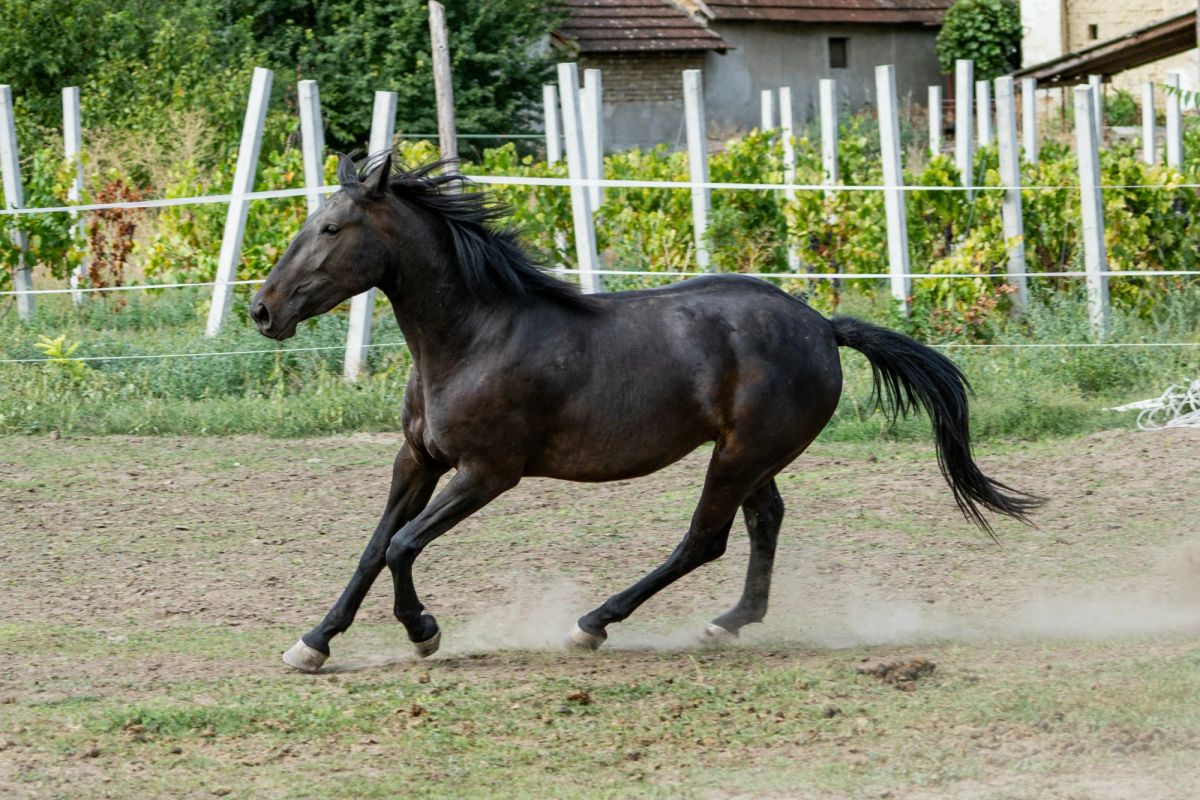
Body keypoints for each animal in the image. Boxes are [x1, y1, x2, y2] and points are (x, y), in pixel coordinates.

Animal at [251, 154, 1040, 672]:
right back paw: (727, 624)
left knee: (705, 540)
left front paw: (423, 632)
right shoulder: (417, 458)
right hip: (753, 455)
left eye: (330, 229)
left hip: (738, 455)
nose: (261, 309)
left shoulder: (488, 472)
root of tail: (822, 325)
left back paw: (593, 625)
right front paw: (312, 643)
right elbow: (373, 546)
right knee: (764, 522)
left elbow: (403, 546)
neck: (474, 336)